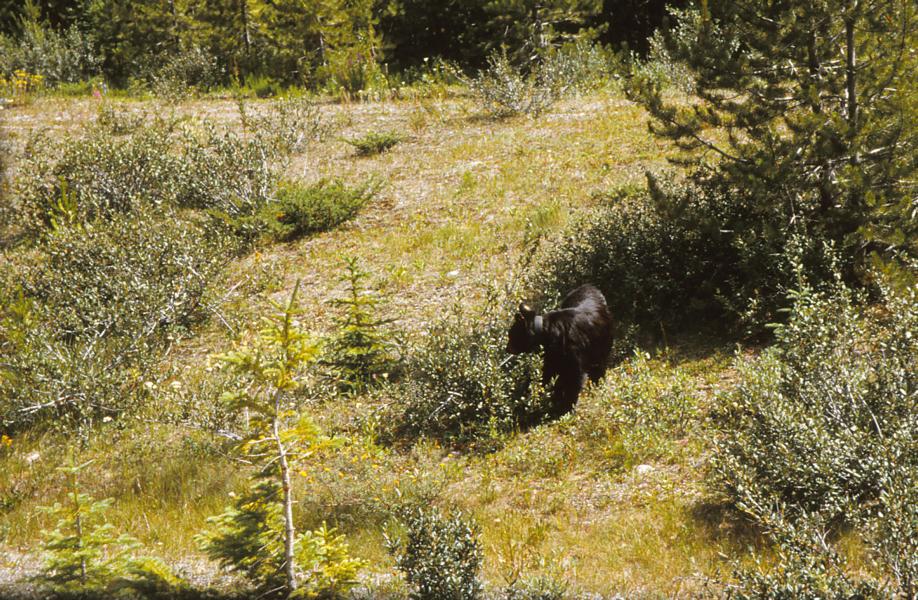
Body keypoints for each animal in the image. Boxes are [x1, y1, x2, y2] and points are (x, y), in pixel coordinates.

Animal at [506, 284, 616, 418]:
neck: (546, 335)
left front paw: (566, 410)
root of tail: (590, 286)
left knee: (599, 365)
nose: (507, 348)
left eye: (511, 336)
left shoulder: (572, 355)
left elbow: (574, 379)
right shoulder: (550, 358)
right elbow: (546, 376)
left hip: (602, 343)